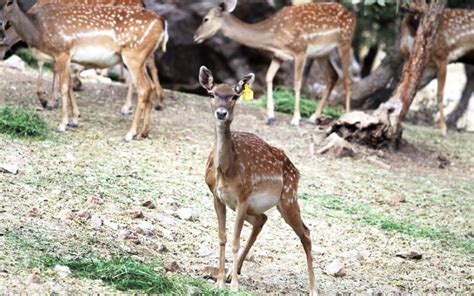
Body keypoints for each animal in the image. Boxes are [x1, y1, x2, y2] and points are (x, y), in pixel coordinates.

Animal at [0, 0, 168, 142]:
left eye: (10, 2)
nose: (1, 23)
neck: (38, 30)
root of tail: (162, 24)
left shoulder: (62, 51)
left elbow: (63, 87)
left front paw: (61, 124)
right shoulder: (64, 57)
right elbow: (68, 85)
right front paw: (73, 120)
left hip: (134, 55)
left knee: (143, 88)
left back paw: (129, 133)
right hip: (140, 58)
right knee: (150, 86)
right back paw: (143, 132)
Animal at [193, 0, 356, 126]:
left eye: (205, 19)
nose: (195, 36)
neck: (274, 37)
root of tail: (352, 15)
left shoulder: (300, 50)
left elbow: (297, 83)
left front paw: (295, 119)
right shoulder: (279, 55)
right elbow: (268, 77)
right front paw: (270, 116)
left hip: (345, 41)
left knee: (347, 79)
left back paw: (347, 118)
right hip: (322, 54)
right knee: (333, 76)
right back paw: (313, 117)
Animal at [198, 66, 316, 294]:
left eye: (234, 96)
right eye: (211, 94)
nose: (221, 113)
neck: (227, 170)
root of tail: (296, 171)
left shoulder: (243, 196)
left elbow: (234, 240)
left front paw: (234, 286)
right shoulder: (218, 198)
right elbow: (222, 237)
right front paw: (219, 281)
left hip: (288, 198)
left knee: (305, 232)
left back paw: (313, 289)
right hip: (259, 206)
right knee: (263, 219)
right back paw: (230, 273)